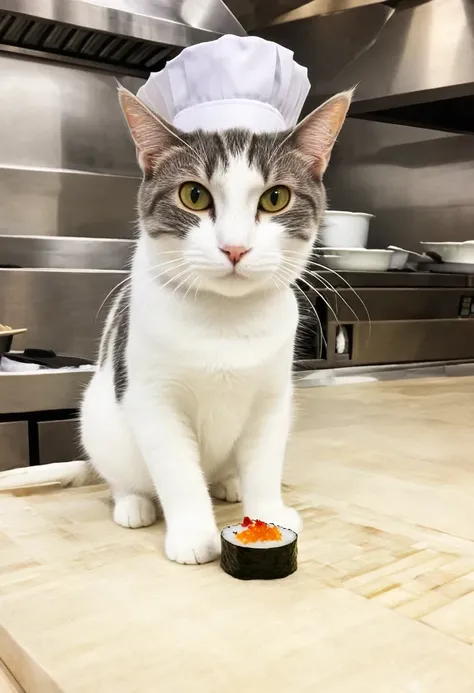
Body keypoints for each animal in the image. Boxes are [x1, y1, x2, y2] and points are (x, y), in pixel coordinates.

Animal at [0, 86, 352, 564]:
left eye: (275, 198)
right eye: (194, 196)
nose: (235, 248)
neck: (225, 321)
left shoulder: (272, 398)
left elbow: (264, 464)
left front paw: (267, 513)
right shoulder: (154, 400)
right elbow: (178, 472)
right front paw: (192, 533)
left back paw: (229, 483)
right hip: (99, 420)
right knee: (121, 478)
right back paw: (133, 503)